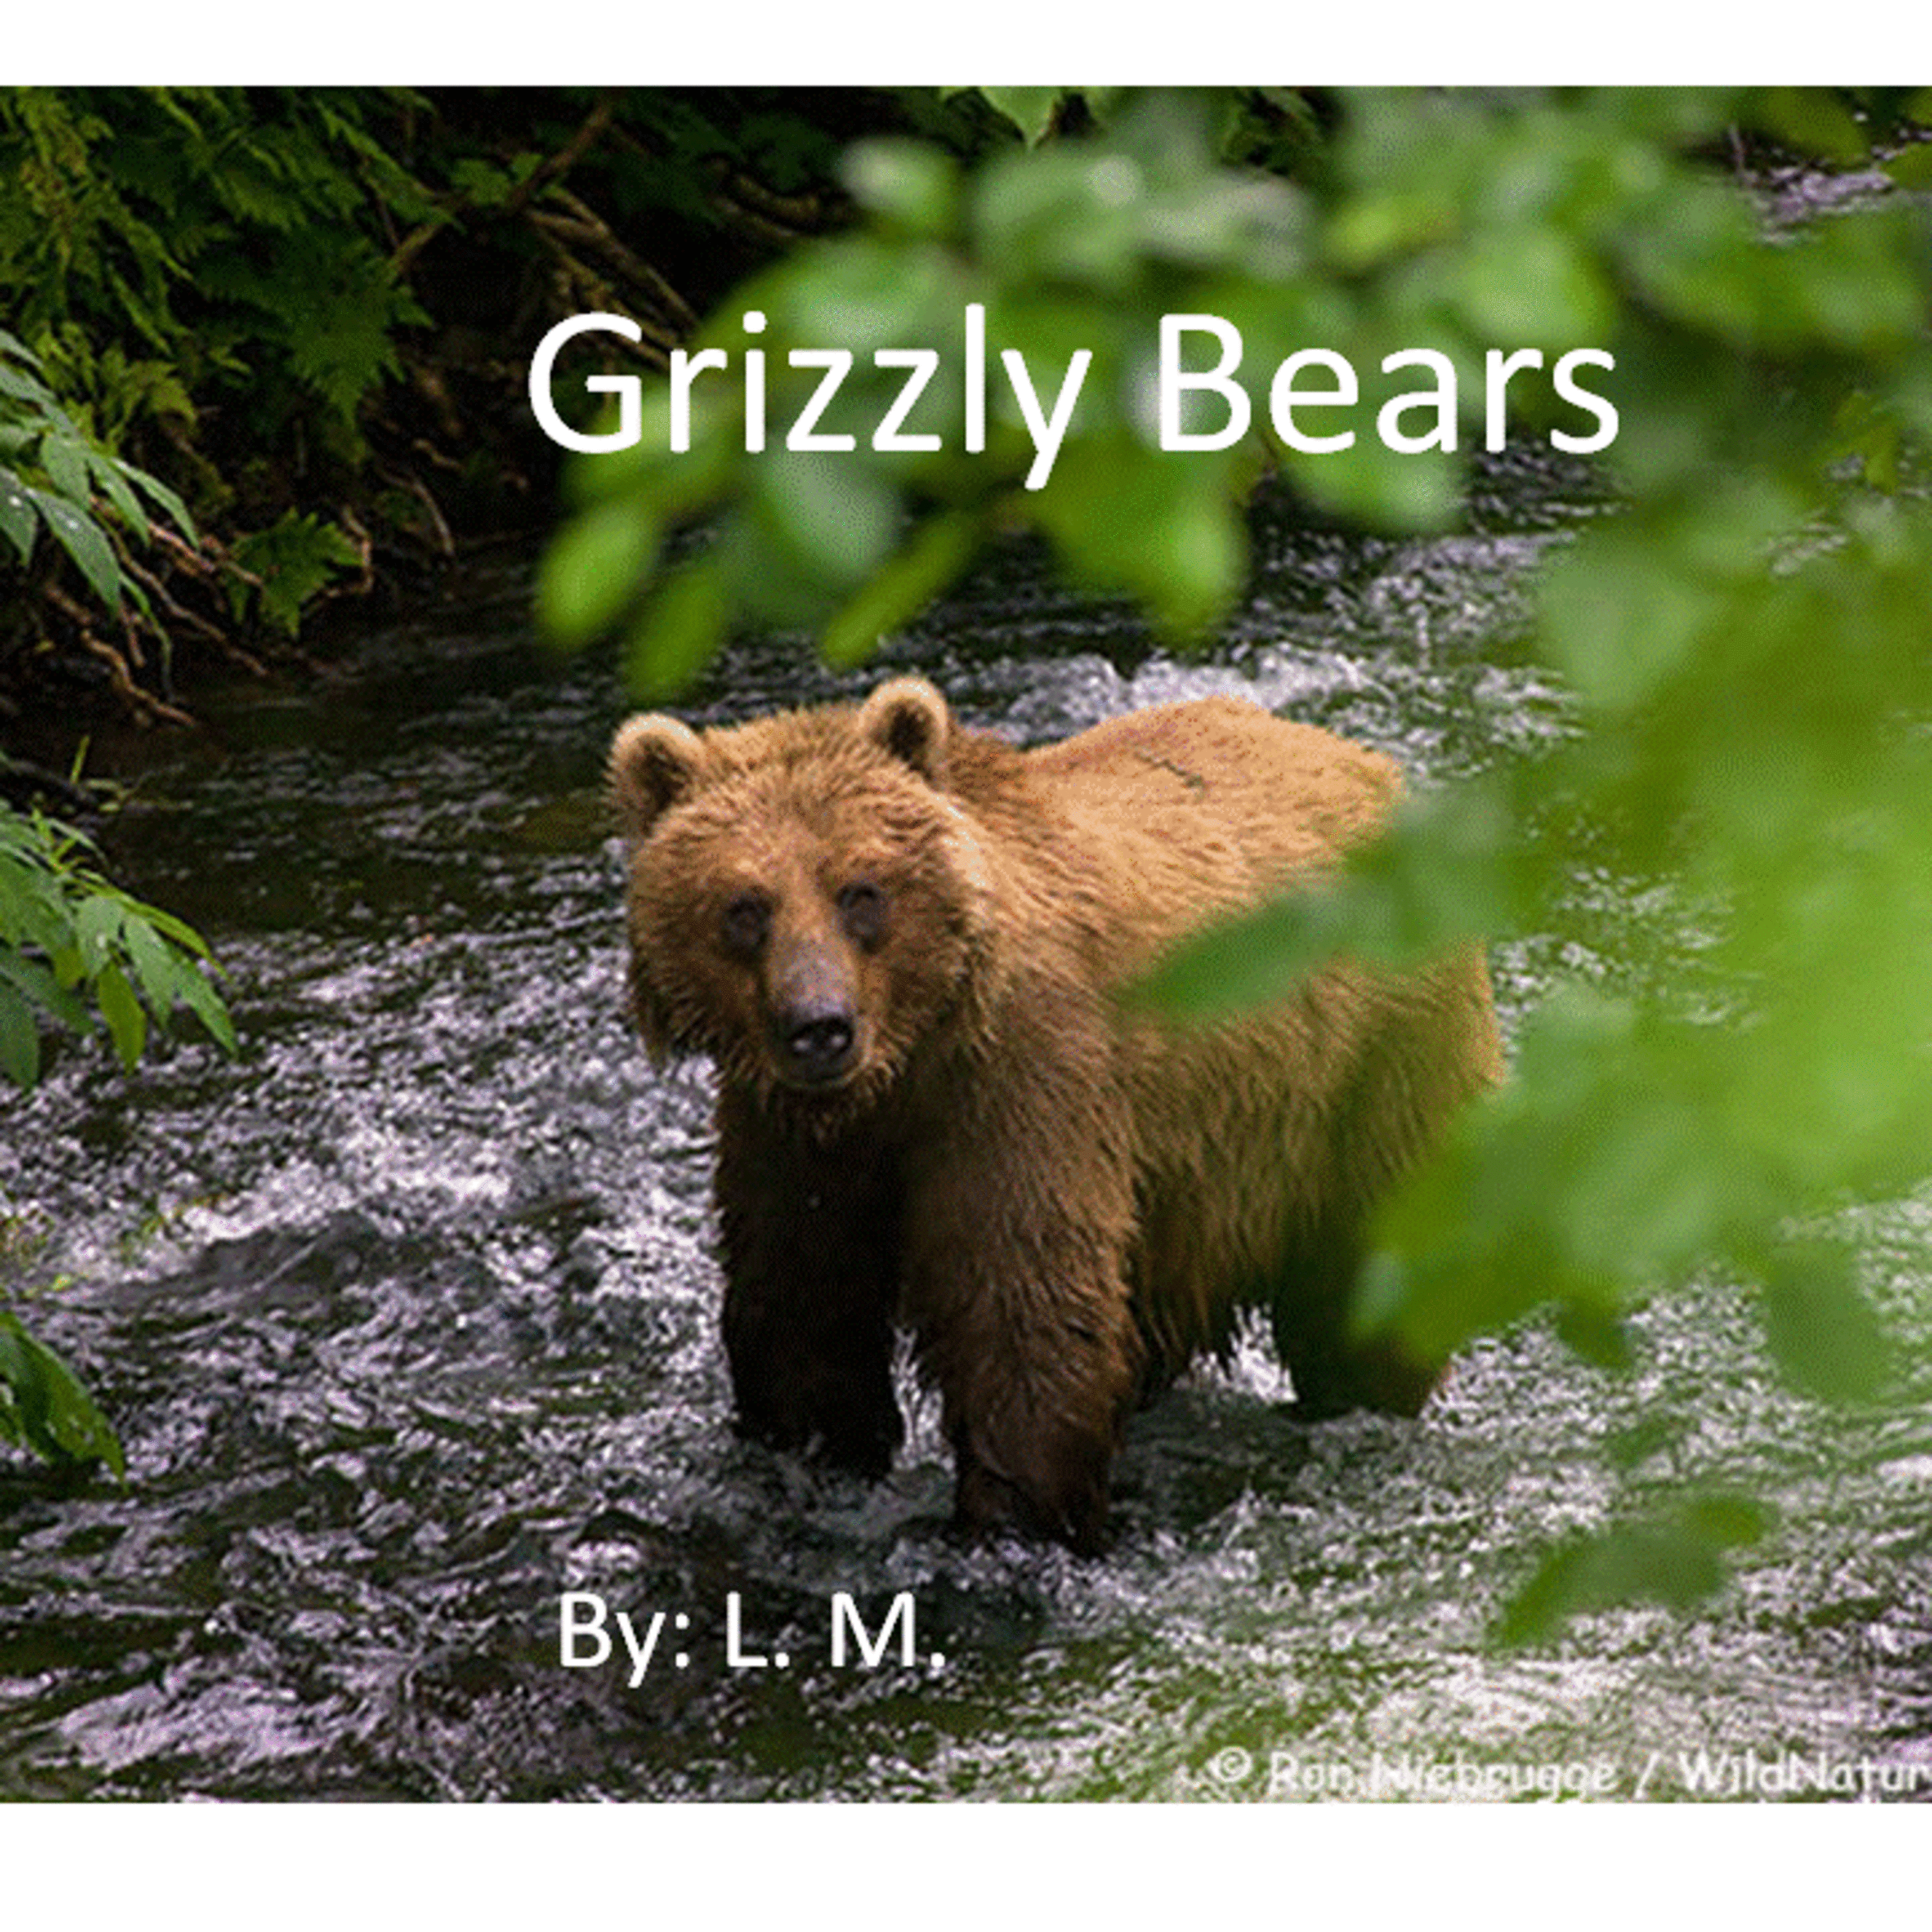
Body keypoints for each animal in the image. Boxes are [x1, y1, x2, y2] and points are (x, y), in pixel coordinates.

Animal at [609, 676, 1501, 1552]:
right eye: (744, 906)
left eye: (861, 891)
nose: (820, 1026)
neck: (907, 1063)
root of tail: (1366, 762)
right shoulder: (788, 1138)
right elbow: (800, 1307)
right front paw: (813, 1458)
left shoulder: (1022, 1088)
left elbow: (1025, 1311)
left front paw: (1012, 1527)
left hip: (1377, 1058)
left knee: (1377, 1273)